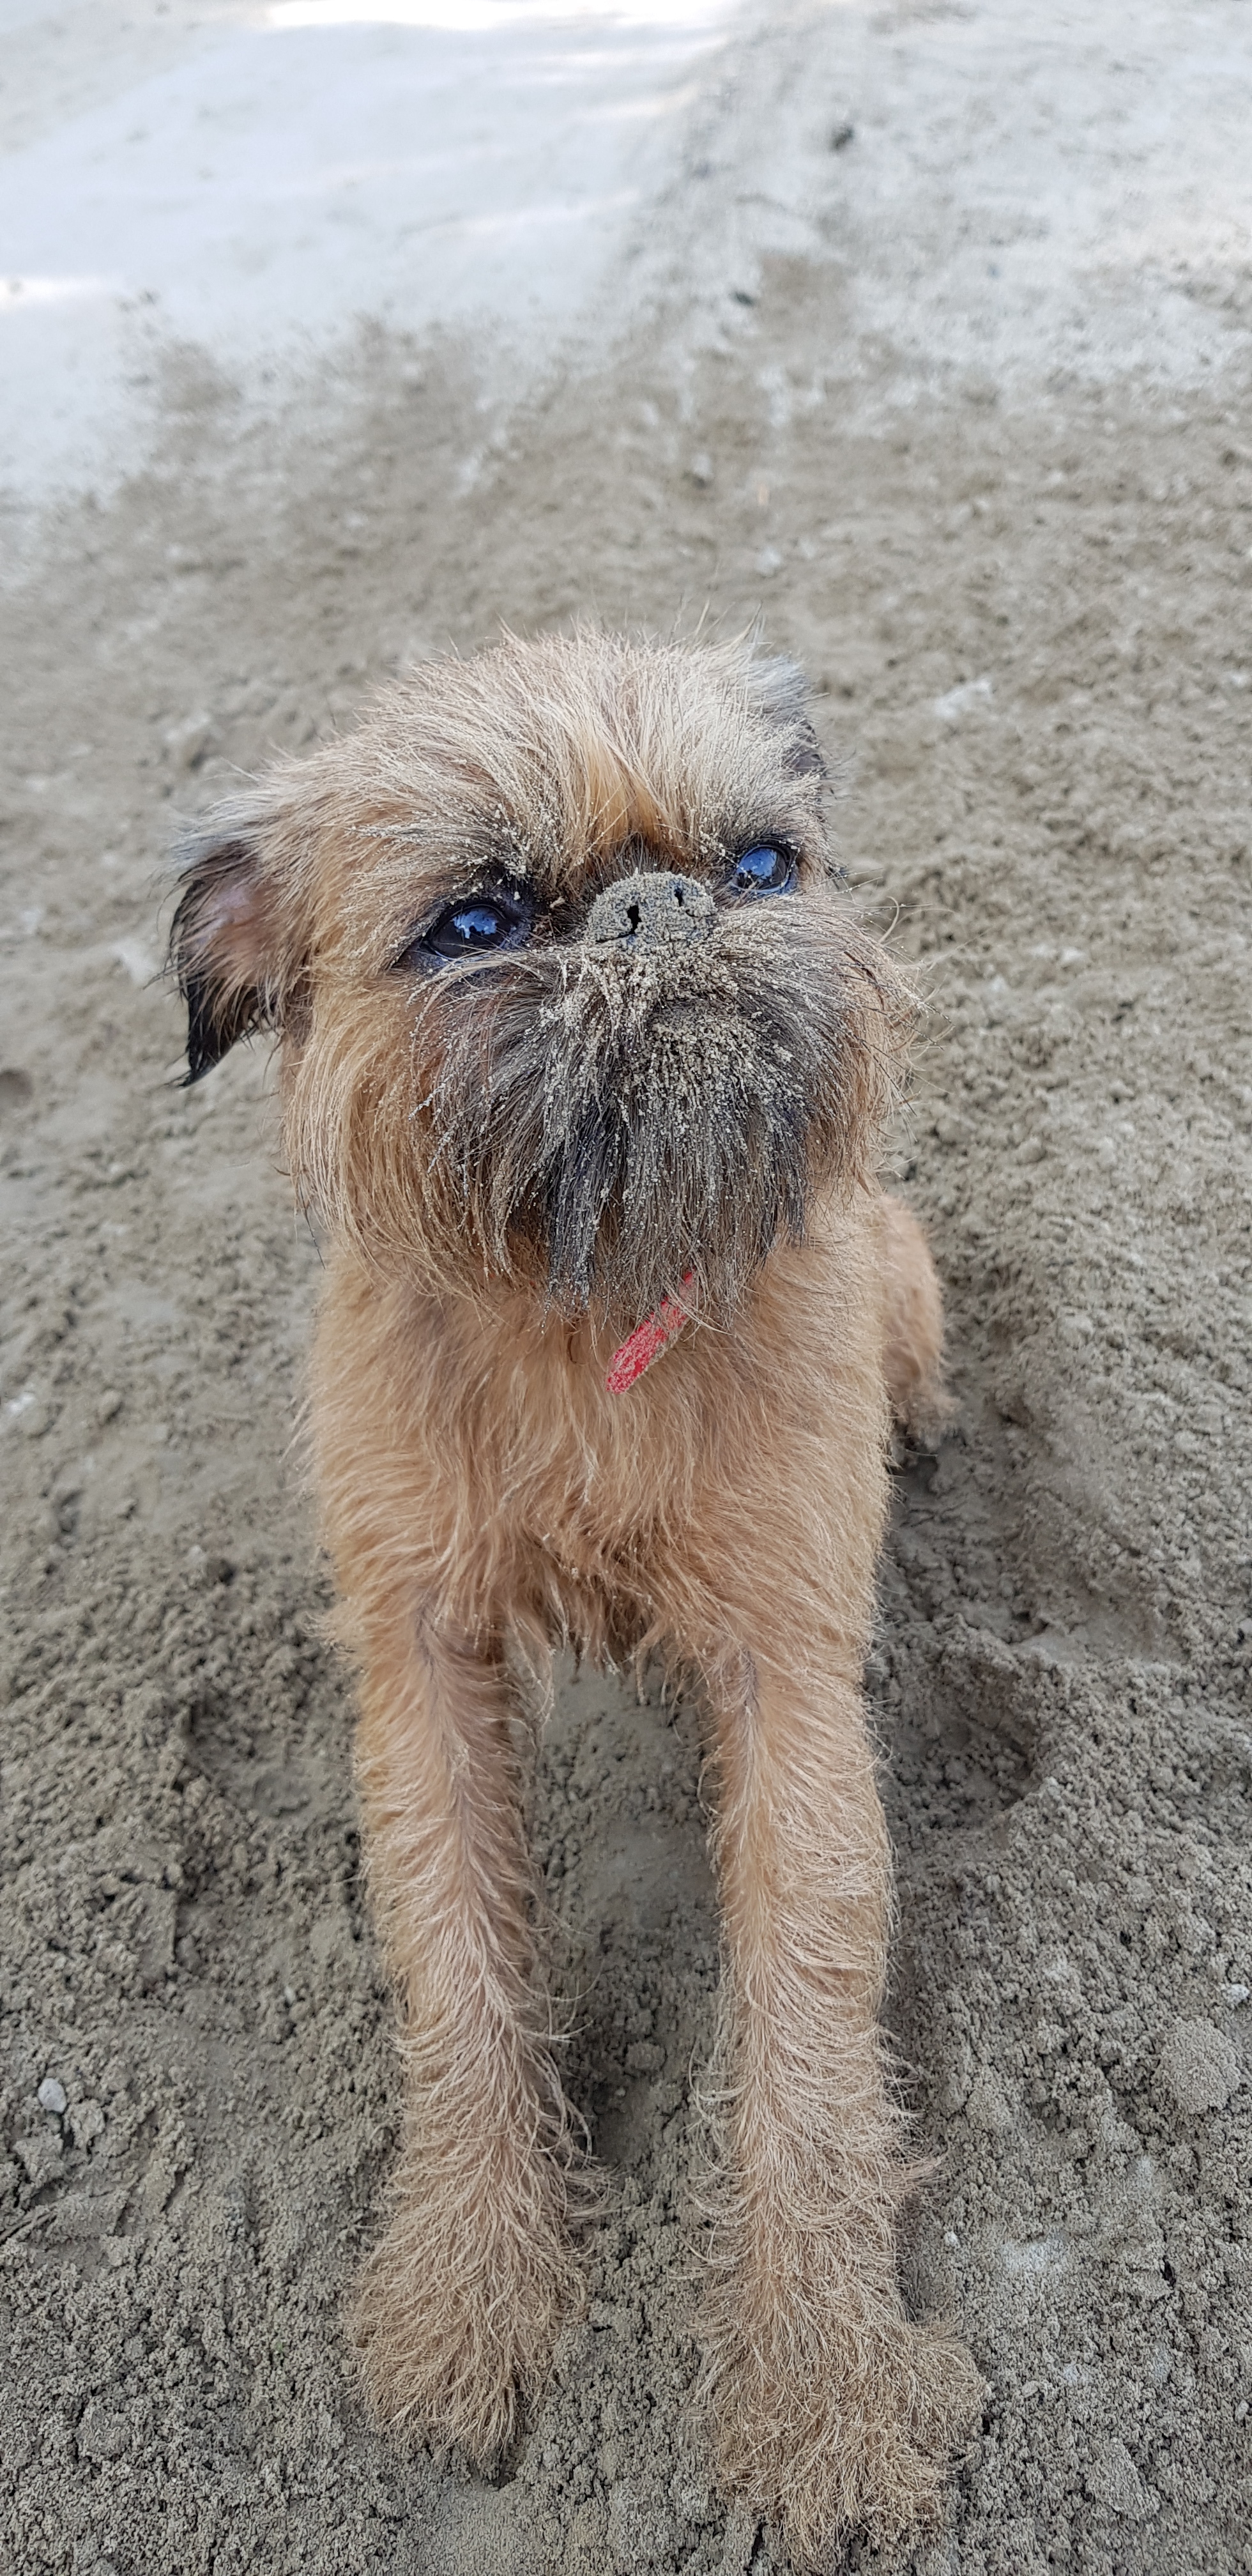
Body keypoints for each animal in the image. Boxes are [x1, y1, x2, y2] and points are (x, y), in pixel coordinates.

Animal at [171, 623, 984, 2555]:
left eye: (761, 863)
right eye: (473, 921)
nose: (658, 904)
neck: (578, 1313)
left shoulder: (789, 1682)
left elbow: (806, 2030)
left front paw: (826, 2397)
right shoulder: (424, 1671)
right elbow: (460, 1972)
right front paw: (466, 2301)